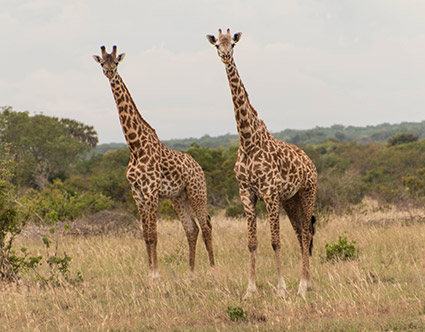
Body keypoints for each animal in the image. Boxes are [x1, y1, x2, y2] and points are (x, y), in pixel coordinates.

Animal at [91, 46, 214, 280]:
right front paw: (149, 272)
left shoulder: (151, 190)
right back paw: (191, 273)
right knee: (192, 229)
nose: (109, 73)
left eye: (116, 63)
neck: (135, 147)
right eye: (102, 63)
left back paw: (213, 269)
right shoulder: (137, 192)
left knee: (206, 226)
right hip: (179, 197)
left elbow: (154, 235)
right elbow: (145, 235)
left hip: (197, 192)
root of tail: (198, 167)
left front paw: (156, 274)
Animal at [207, 29, 316, 296]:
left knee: (306, 233)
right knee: (301, 233)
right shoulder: (246, 192)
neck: (248, 141)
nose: (225, 56)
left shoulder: (269, 192)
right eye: (217, 45)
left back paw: (301, 286)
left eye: (233, 44)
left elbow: (275, 241)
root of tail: (309, 161)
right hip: (291, 199)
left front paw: (281, 288)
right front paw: (250, 289)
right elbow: (252, 242)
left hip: (307, 192)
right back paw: (306, 283)